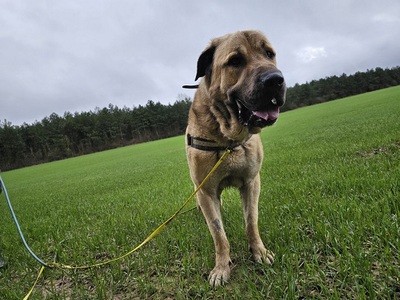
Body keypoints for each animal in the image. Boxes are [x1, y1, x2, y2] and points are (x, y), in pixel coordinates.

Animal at [186, 30, 286, 286]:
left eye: (269, 54)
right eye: (235, 61)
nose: (275, 80)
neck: (228, 137)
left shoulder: (251, 182)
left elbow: (251, 221)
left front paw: (259, 252)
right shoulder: (206, 190)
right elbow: (219, 234)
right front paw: (222, 267)